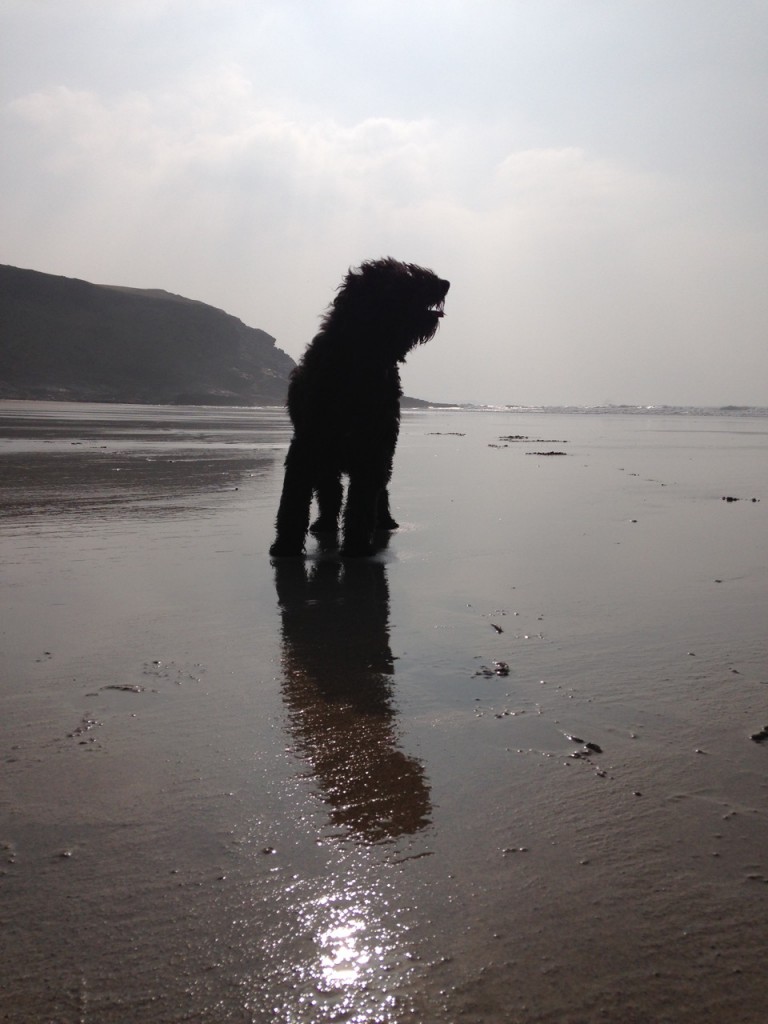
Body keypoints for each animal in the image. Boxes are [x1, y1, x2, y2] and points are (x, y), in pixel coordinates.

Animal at [270, 260, 450, 557]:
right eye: (407, 275)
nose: (445, 283)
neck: (361, 357)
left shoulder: (374, 448)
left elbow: (363, 500)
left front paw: (356, 546)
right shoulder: (308, 445)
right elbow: (294, 499)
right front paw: (285, 545)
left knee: (379, 492)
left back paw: (384, 521)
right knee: (330, 490)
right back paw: (324, 523)